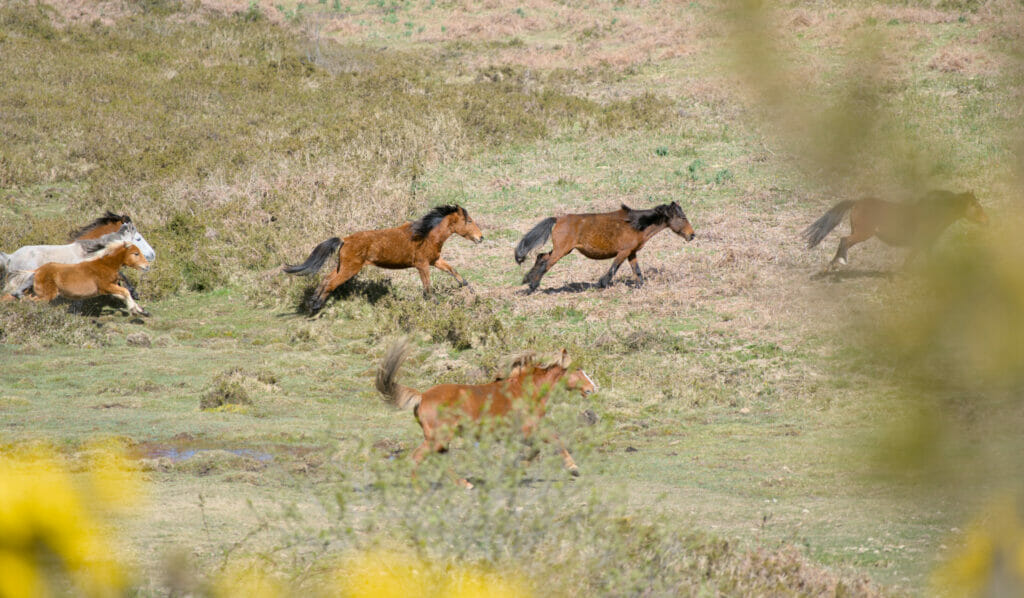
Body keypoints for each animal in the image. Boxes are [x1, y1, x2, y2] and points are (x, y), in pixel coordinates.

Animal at [14, 241, 151, 317]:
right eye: (136, 253)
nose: (147, 266)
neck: (106, 265)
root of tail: (37, 271)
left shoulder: (109, 289)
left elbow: (123, 295)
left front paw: (141, 311)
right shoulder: (106, 287)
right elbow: (126, 292)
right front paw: (135, 310)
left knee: (27, 299)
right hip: (47, 295)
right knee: (29, 300)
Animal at [284, 204, 483, 313]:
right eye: (469, 221)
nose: (481, 237)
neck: (426, 235)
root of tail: (344, 239)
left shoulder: (435, 261)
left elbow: (454, 271)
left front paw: (471, 291)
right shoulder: (422, 265)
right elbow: (427, 289)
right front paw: (436, 304)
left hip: (342, 266)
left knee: (326, 280)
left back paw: (312, 302)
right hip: (350, 269)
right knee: (331, 283)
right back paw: (315, 307)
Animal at [376, 337, 598, 483]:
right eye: (578, 369)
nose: (592, 388)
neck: (526, 390)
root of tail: (422, 396)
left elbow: (537, 449)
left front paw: (514, 471)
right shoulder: (528, 430)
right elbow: (553, 441)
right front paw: (573, 469)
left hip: (441, 439)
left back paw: (464, 484)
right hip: (438, 437)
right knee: (417, 458)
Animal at [512, 201, 696, 292]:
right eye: (683, 217)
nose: (692, 235)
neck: (637, 224)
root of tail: (558, 219)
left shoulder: (631, 253)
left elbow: (637, 271)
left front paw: (640, 286)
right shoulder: (623, 252)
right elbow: (613, 269)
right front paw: (602, 284)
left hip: (561, 250)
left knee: (541, 256)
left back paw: (528, 279)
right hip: (561, 251)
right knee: (546, 263)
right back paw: (532, 286)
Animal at [802, 190, 987, 272]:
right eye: (977, 208)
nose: (987, 220)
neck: (935, 211)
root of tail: (857, 202)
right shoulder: (923, 243)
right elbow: (914, 259)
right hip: (863, 233)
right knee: (844, 240)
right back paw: (840, 262)